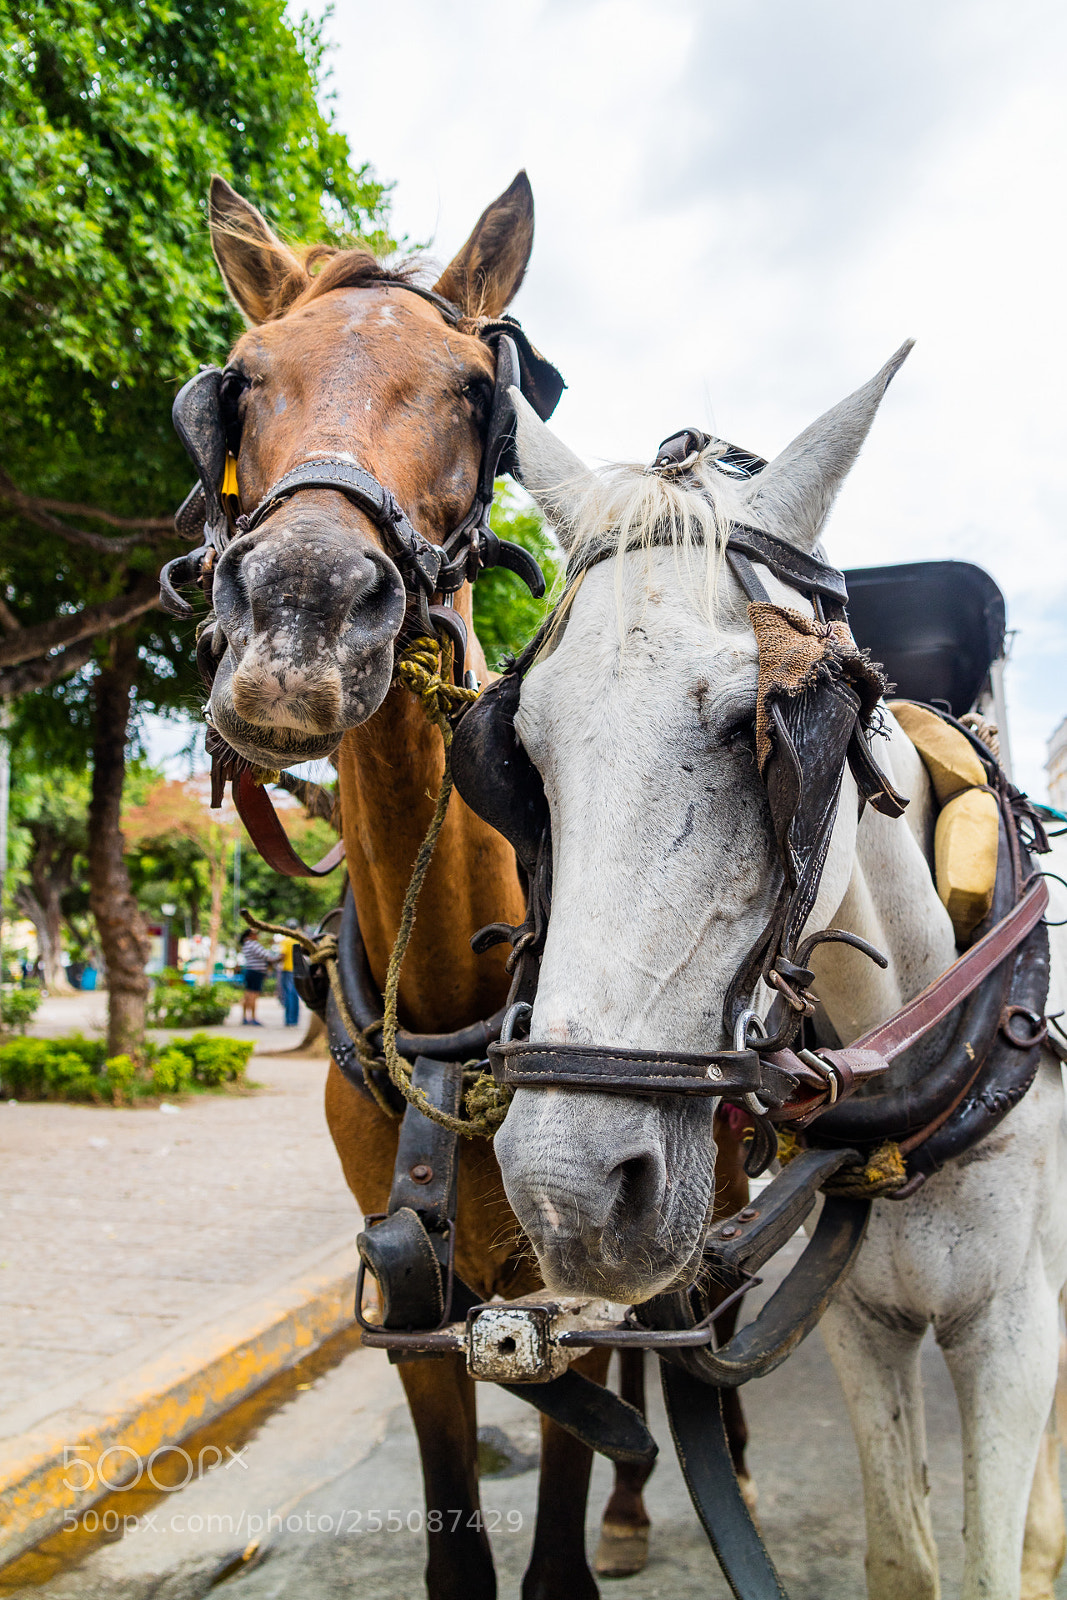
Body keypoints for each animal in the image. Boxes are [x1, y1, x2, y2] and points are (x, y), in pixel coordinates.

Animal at [198, 171, 662, 1598]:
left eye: (473, 390)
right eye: (242, 380)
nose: (297, 616)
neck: (457, 980)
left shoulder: (575, 1269)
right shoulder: (412, 1300)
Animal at [484, 355, 1067, 1599]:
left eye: (757, 727)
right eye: (520, 751)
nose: (566, 1191)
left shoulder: (1008, 1332)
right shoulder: (855, 1318)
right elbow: (901, 1558)